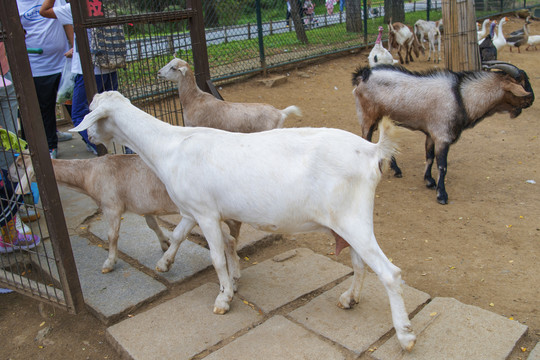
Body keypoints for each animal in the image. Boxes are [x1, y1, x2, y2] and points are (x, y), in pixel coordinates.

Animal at [9, 152, 242, 272]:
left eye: (19, 164)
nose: (9, 174)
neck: (88, 173)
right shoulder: (144, 207)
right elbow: (152, 224)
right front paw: (164, 242)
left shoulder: (111, 205)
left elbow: (112, 236)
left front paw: (109, 263)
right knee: (229, 235)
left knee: (227, 236)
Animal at [70, 90, 418, 352]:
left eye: (91, 112)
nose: (90, 136)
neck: (169, 147)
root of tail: (372, 150)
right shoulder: (193, 210)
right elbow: (182, 234)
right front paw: (165, 263)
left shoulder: (206, 213)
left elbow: (216, 257)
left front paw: (224, 298)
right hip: (346, 221)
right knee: (360, 263)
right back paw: (349, 299)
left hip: (353, 218)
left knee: (390, 273)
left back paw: (405, 335)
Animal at [352, 60, 532, 204]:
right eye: (523, 83)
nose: (532, 100)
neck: (461, 97)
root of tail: (363, 75)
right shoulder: (442, 136)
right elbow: (442, 166)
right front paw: (442, 195)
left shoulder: (431, 134)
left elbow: (430, 157)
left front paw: (429, 181)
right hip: (367, 117)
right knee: (366, 138)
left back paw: (396, 169)